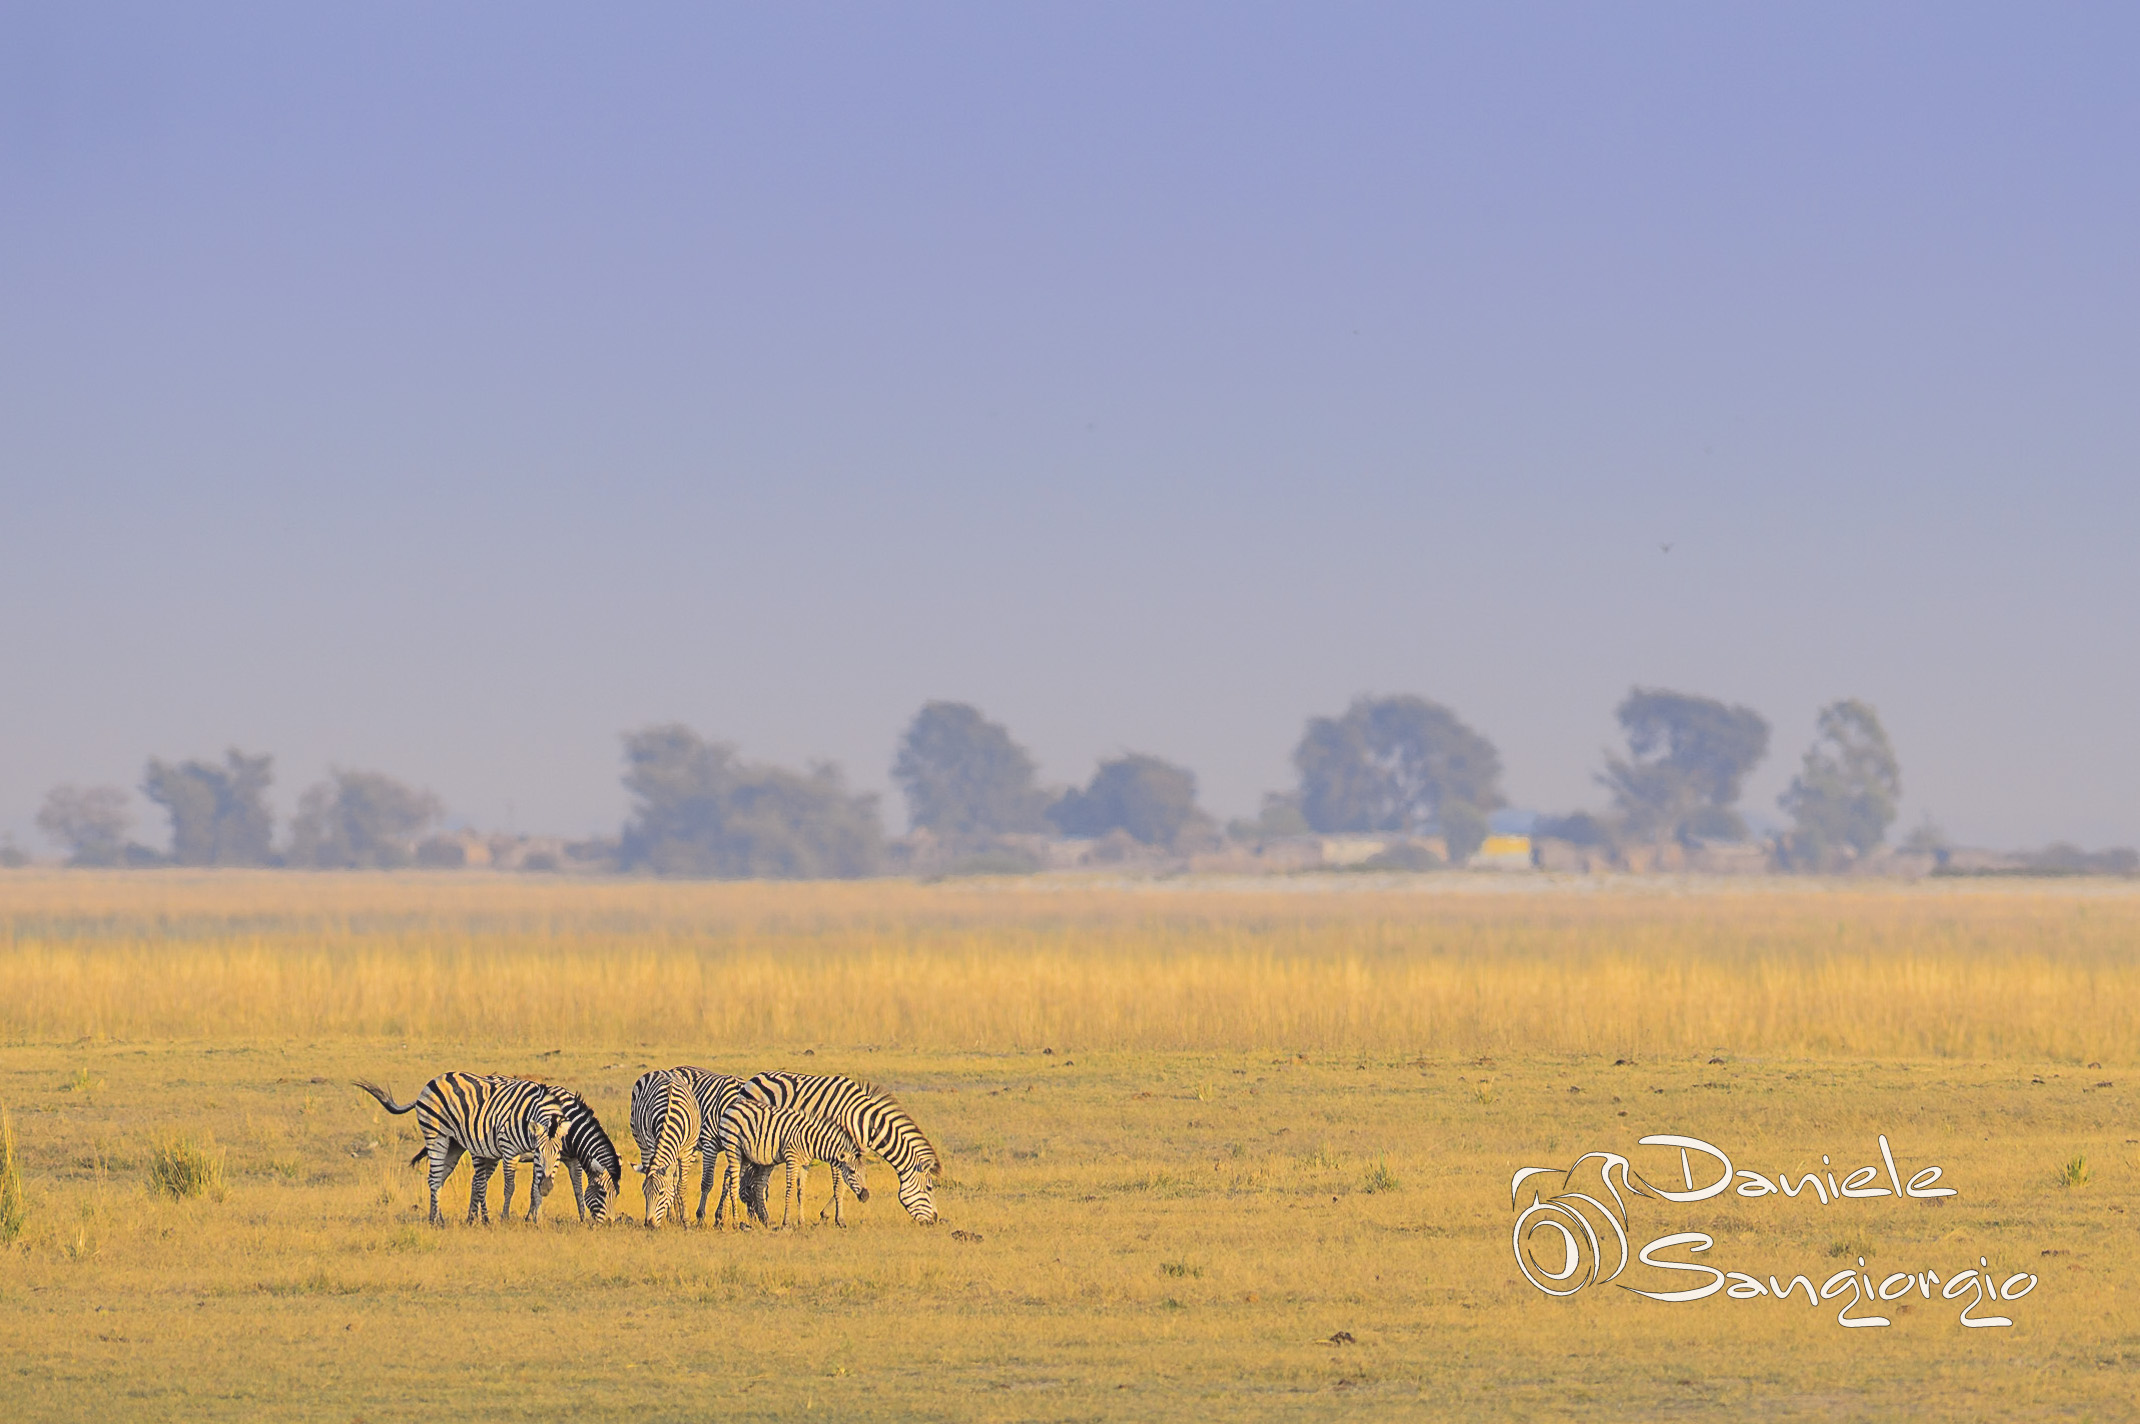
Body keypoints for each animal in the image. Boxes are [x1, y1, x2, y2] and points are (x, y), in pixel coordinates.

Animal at [354, 1073, 567, 1225]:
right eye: (539, 1151)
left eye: (558, 1153)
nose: (548, 1187)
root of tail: (433, 1080)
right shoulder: (509, 1150)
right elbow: (509, 1187)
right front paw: (505, 1218)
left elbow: (534, 1187)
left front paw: (536, 1220)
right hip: (436, 1135)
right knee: (435, 1178)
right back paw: (437, 1222)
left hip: (454, 1144)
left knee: (438, 1178)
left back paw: (437, 1218)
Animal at [495, 1085, 623, 1224]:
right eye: (602, 1193)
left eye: (616, 1194)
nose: (610, 1222)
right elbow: (535, 1188)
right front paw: (531, 1217)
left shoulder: (574, 1159)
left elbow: (578, 1189)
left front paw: (582, 1219)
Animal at [628, 1068, 701, 1227]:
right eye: (644, 1193)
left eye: (661, 1192)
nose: (649, 1224)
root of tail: (659, 1071)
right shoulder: (651, 1145)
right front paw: (672, 1215)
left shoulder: (686, 1152)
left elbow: (680, 1185)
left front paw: (685, 1219)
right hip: (642, 1144)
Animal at [717, 1098, 868, 1229]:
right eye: (852, 1171)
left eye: (864, 1173)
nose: (866, 1196)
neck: (811, 1139)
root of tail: (733, 1105)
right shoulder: (792, 1159)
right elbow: (789, 1189)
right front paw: (786, 1222)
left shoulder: (805, 1163)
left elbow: (801, 1191)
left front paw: (801, 1222)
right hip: (733, 1148)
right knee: (733, 1184)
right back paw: (735, 1222)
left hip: (745, 1156)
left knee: (730, 1180)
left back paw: (723, 1220)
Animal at [739, 1071, 940, 1225]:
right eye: (929, 1188)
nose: (936, 1219)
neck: (864, 1122)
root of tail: (754, 1078)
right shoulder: (839, 1149)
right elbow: (839, 1184)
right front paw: (837, 1218)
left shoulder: (855, 1153)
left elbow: (849, 1182)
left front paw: (827, 1213)